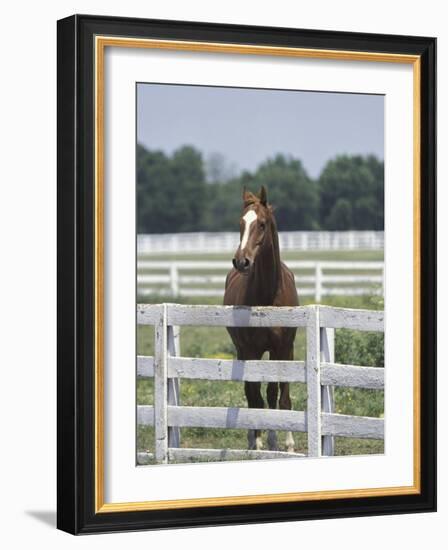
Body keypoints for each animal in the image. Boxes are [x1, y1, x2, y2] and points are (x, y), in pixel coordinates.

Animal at [223, 185, 298, 452]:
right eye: (240, 223)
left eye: (262, 224)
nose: (241, 261)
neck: (269, 294)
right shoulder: (251, 350)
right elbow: (255, 395)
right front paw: (257, 442)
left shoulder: (284, 348)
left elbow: (281, 396)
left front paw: (288, 444)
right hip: (242, 350)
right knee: (251, 392)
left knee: (273, 393)